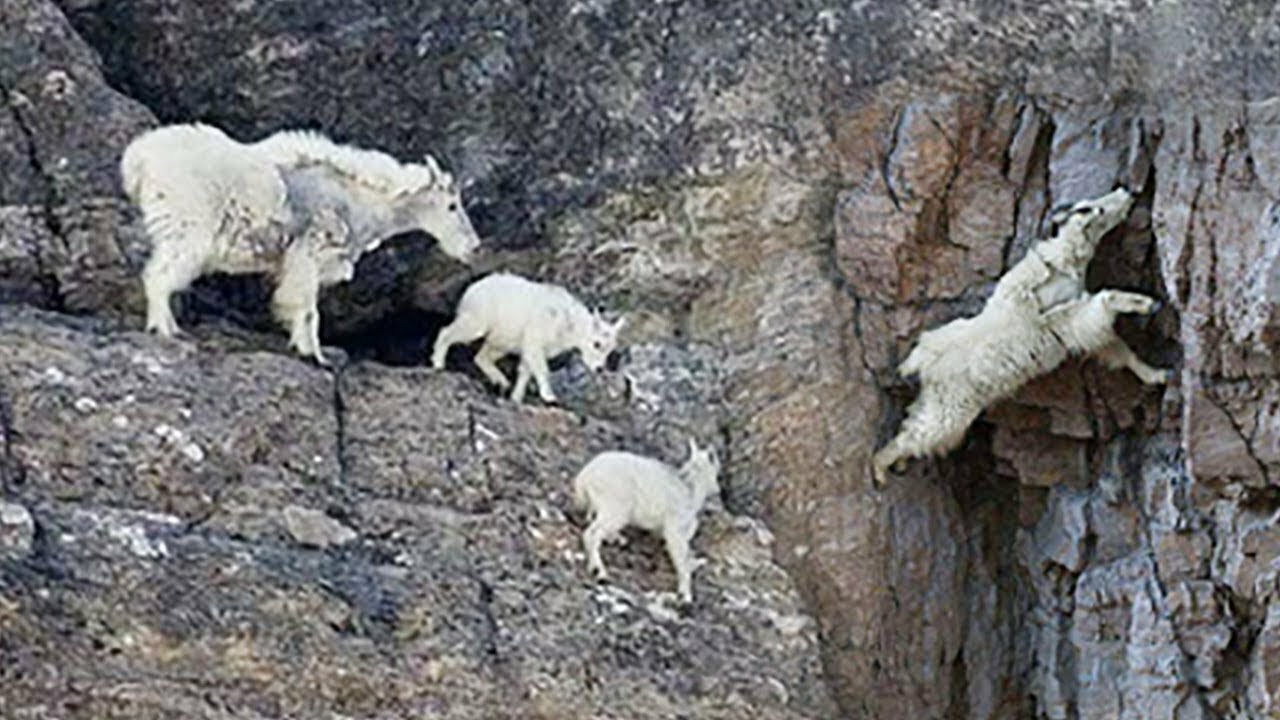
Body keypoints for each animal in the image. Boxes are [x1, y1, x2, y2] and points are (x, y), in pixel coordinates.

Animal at [120, 121, 481, 363]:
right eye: (452, 205)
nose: (473, 247)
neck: (360, 199)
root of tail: (138, 159)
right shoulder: (309, 253)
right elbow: (308, 309)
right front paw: (314, 354)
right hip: (187, 229)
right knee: (158, 277)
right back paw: (163, 330)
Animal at [432, 270, 627, 399]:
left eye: (611, 350)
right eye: (597, 343)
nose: (599, 368)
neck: (568, 324)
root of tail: (471, 289)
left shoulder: (529, 347)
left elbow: (525, 371)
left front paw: (516, 397)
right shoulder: (535, 341)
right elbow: (541, 369)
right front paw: (550, 397)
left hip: (503, 340)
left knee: (482, 357)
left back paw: (502, 382)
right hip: (478, 320)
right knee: (447, 333)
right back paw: (438, 363)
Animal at [573, 435, 721, 602]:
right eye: (716, 469)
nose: (717, 489)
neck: (691, 490)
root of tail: (585, 476)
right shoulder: (675, 530)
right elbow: (681, 560)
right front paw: (686, 595)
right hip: (616, 509)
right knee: (592, 534)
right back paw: (599, 571)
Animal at [870, 185, 1172, 486]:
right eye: (1088, 208)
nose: (1129, 191)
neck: (1064, 266)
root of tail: (922, 365)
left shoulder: (1079, 325)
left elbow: (1116, 348)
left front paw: (1158, 374)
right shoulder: (1067, 318)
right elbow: (1105, 301)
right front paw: (1147, 303)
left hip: (938, 401)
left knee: (915, 423)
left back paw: (898, 464)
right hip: (951, 409)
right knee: (918, 434)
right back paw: (880, 469)